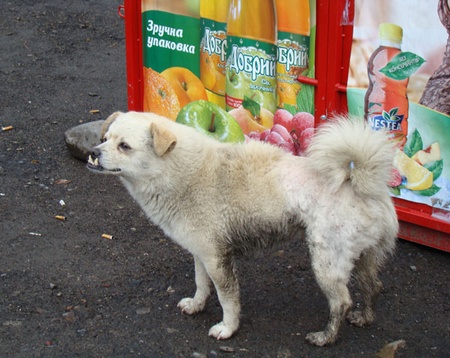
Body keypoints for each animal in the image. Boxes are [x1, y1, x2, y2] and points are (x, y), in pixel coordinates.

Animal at [88, 110, 398, 346]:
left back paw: (326, 337)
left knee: (341, 302)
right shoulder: (200, 252)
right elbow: (201, 284)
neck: (181, 172)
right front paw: (197, 305)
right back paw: (365, 317)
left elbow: (227, 298)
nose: (92, 153)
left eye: (124, 146)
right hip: (361, 256)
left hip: (327, 263)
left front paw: (227, 328)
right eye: (104, 139)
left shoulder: (217, 259)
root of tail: (360, 183)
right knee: (374, 285)